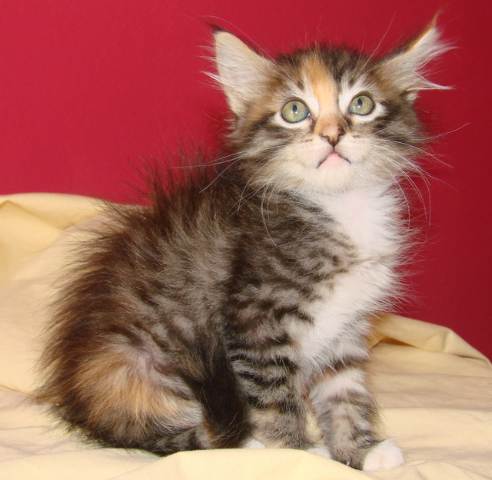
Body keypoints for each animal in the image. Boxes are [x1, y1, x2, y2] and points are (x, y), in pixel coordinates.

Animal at [36, 20, 448, 470]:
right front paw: (299, 452)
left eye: (361, 104)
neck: (340, 206)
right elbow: (274, 396)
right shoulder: (256, 317)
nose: (333, 135)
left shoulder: (347, 326)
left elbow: (345, 390)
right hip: (142, 361)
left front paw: (360, 450)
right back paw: (243, 444)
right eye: (295, 111)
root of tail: (83, 404)